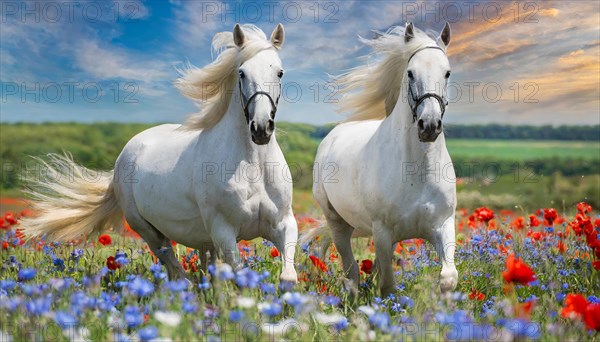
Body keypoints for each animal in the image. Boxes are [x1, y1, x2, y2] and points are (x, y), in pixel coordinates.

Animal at [23, 24, 300, 284]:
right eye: (241, 73)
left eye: (280, 72)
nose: (261, 128)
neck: (253, 165)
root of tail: (124, 156)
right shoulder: (224, 232)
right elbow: (242, 277)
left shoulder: (284, 224)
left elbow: (288, 276)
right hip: (149, 231)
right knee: (175, 268)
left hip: (199, 238)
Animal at [308, 22, 458, 296]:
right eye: (410, 73)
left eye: (447, 73)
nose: (429, 125)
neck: (416, 171)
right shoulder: (383, 232)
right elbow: (388, 286)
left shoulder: (443, 224)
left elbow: (448, 278)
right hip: (338, 223)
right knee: (352, 274)